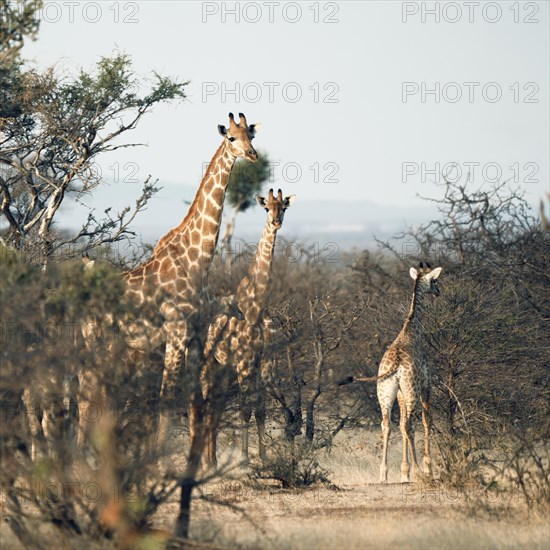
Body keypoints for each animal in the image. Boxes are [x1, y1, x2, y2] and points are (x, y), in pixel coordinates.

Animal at [78, 113, 260, 452]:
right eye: (231, 137)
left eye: (251, 136)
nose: (252, 155)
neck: (198, 260)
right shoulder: (175, 333)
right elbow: (166, 401)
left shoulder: (197, 334)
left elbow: (194, 402)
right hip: (98, 339)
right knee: (86, 393)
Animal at [204, 189, 298, 466]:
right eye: (267, 208)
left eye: (284, 208)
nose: (276, 222)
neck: (256, 308)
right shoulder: (244, 365)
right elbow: (246, 410)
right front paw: (245, 458)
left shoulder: (265, 366)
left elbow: (260, 410)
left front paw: (264, 456)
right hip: (209, 363)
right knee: (206, 405)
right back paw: (207, 461)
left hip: (224, 370)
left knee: (216, 407)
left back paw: (212, 459)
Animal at [380, 264, 444, 484]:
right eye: (434, 281)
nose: (438, 292)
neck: (412, 329)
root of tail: (395, 366)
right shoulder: (426, 386)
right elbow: (427, 421)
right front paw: (427, 467)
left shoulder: (399, 394)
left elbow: (399, 426)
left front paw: (403, 471)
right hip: (411, 392)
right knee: (409, 425)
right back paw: (418, 471)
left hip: (385, 394)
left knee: (387, 424)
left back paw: (383, 474)